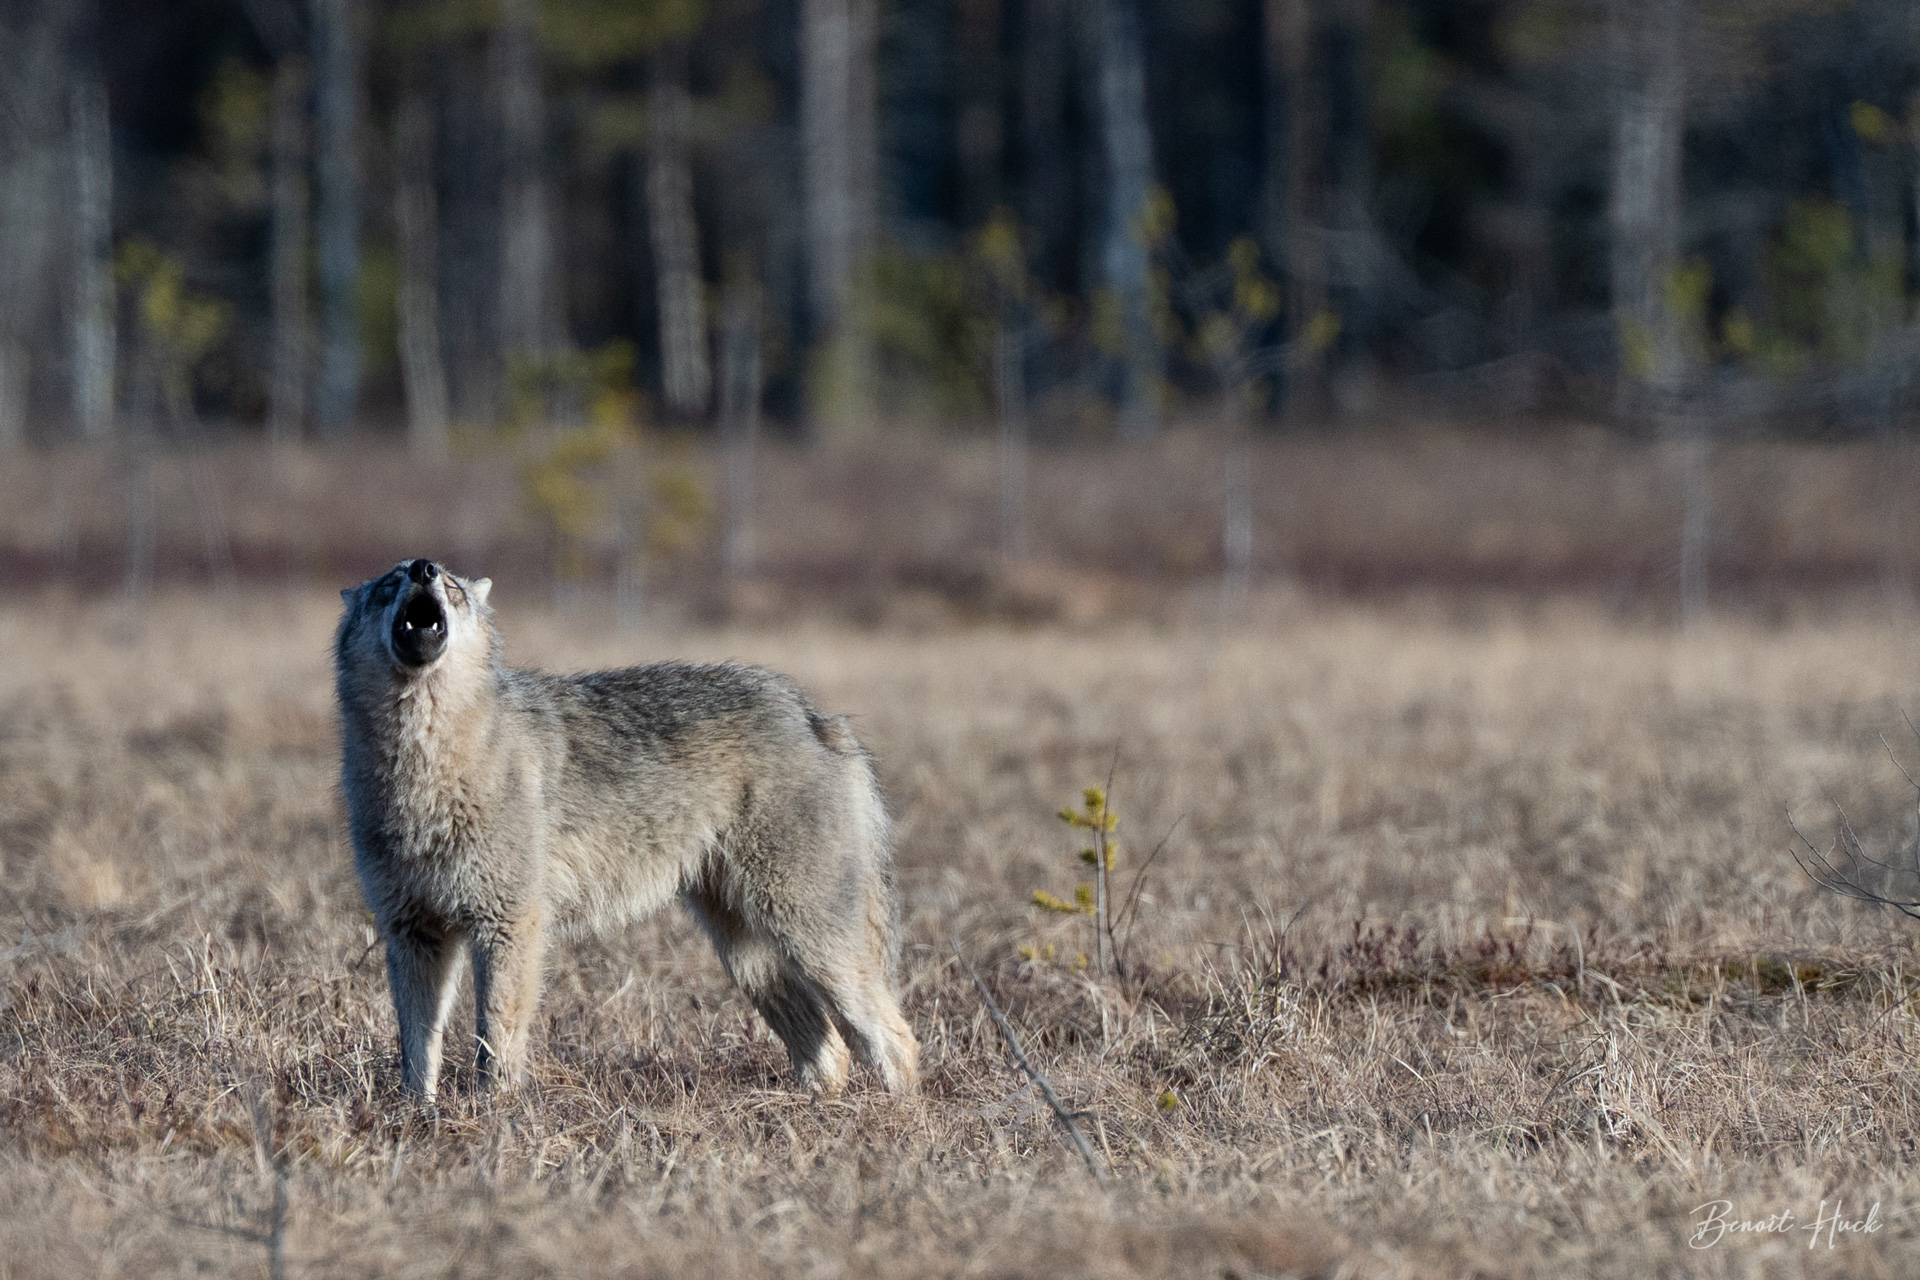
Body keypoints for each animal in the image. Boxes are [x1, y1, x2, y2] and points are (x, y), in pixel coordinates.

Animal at [335, 558, 919, 1099]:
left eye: (452, 587)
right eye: (389, 582)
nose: (423, 568)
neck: (427, 765)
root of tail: (815, 714)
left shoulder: (509, 925)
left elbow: (495, 1042)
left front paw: (493, 1115)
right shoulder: (413, 932)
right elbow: (416, 1050)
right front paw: (418, 1116)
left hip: (809, 938)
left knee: (897, 1040)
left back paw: (894, 1118)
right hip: (749, 953)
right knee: (832, 1051)